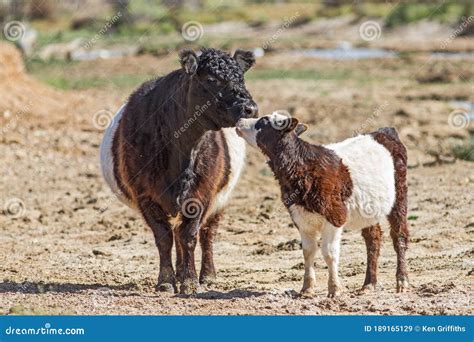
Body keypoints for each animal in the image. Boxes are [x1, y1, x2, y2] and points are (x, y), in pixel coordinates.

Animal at [236, 113, 408, 298]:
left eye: (264, 121)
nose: (239, 120)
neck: (301, 168)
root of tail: (384, 132)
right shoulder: (300, 217)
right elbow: (308, 251)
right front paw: (307, 288)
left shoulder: (335, 215)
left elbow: (329, 253)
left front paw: (334, 289)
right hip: (368, 209)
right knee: (373, 238)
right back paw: (369, 284)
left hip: (399, 196)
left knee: (399, 236)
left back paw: (402, 281)